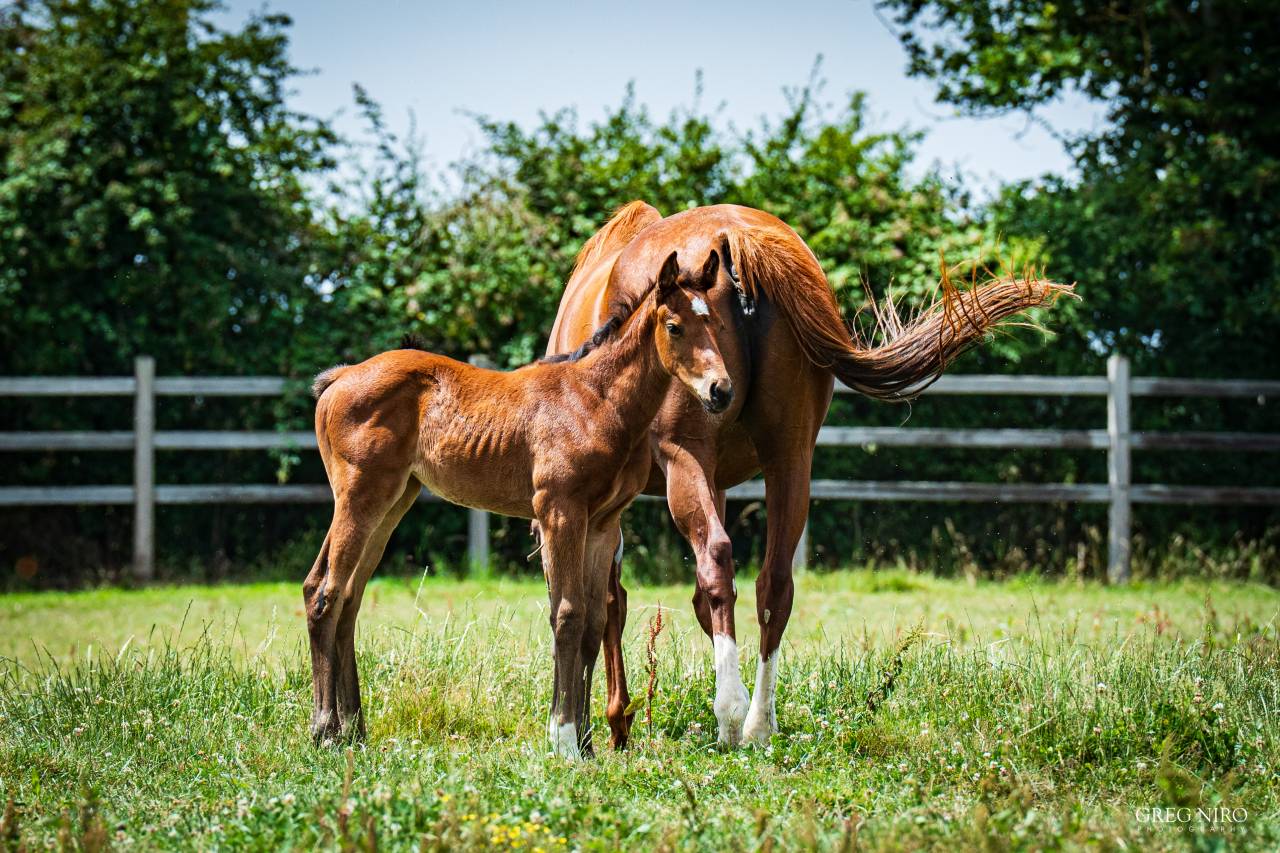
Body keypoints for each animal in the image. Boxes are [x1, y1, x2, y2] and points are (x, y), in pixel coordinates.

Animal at [304, 249, 729, 759]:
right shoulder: (560, 512)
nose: (721, 391)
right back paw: (325, 730)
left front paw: (586, 741)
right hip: (360, 496)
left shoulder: (603, 524)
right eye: (674, 326)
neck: (595, 402)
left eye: (716, 324)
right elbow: (566, 615)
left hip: (392, 502)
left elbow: (593, 624)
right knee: (325, 593)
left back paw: (354, 729)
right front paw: (563, 738)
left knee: (346, 596)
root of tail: (340, 377)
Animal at [544, 202, 1071, 748]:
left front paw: (600, 724)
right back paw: (759, 722)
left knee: (716, 563)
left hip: (687, 457)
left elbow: (601, 605)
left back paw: (730, 715)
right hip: (791, 458)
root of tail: (736, 236)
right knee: (773, 583)